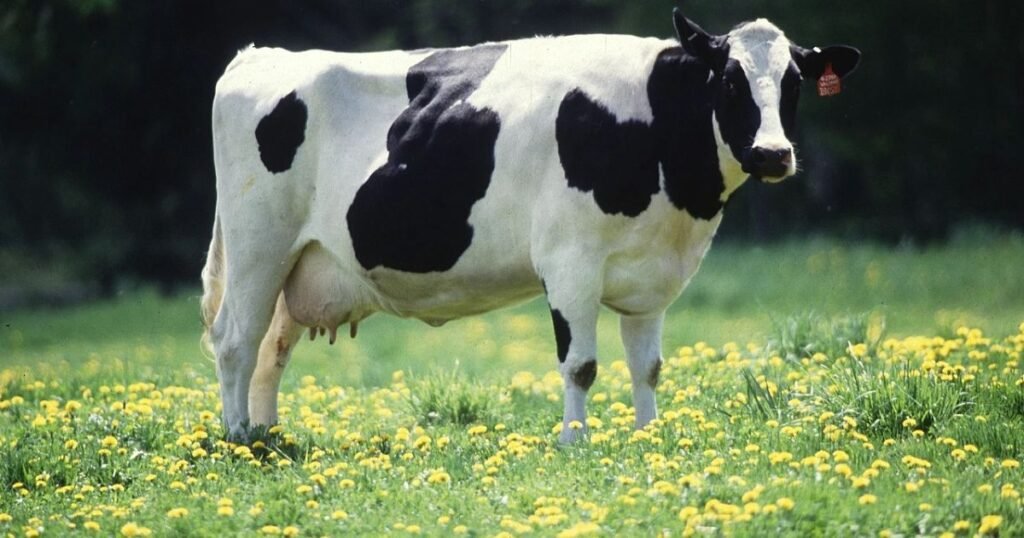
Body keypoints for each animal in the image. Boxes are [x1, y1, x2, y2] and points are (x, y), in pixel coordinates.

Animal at [201, 9, 860, 443]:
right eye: (728, 79)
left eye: (794, 83)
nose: (773, 154)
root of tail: (259, 55)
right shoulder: (570, 261)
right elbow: (581, 364)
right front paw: (574, 442)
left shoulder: (652, 276)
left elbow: (647, 365)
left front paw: (648, 437)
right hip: (258, 244)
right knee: (235, 339)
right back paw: (239, 439)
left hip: (300, 261)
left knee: (271, 348)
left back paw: (268, 435)